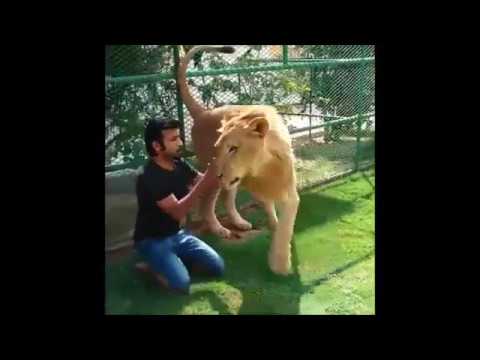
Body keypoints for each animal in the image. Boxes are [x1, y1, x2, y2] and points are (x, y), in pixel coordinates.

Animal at [177, 45, 300, 276]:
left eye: (234, 148)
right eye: (219, 148)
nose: (219, 173)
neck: (262, 167)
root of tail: (203, 113)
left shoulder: (287, 190)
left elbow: (284, 225)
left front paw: (277, 234)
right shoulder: (256, 186)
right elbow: (271, 210)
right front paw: (280, 265)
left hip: (229, 180)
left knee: (227, 199)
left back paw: (240, 223)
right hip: (212, 173)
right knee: (207, 204)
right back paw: (220, 229)